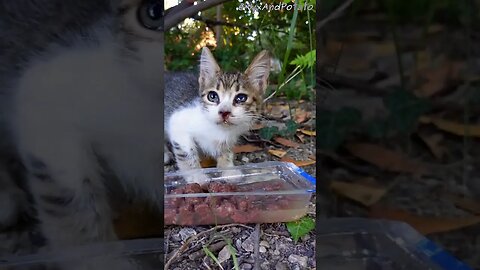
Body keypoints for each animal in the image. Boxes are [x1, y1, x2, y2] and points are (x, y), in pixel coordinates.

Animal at [164, 47, 270, 180]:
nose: (224, 112)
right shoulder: (177, 123)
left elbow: (226, 151)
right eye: (212, 96)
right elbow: (187, 152)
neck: (219, 130)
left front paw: (228, 170)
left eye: (241, 98)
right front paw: (196, 176)